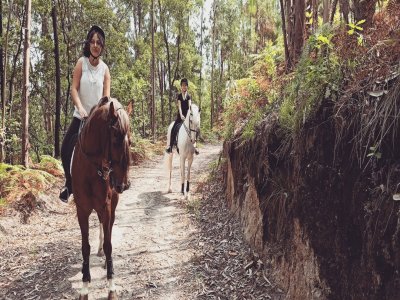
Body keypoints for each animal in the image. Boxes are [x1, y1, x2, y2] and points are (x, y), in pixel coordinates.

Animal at [71, 97, 131, 298]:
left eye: (130, 140)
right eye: (115, 138)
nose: (123, 184)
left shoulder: (106, 206)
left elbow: (109, 244)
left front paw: (111, 286)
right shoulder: (81, 210)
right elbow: (85, 247)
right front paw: (84, 286)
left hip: (112, 205)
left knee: (109, 229)